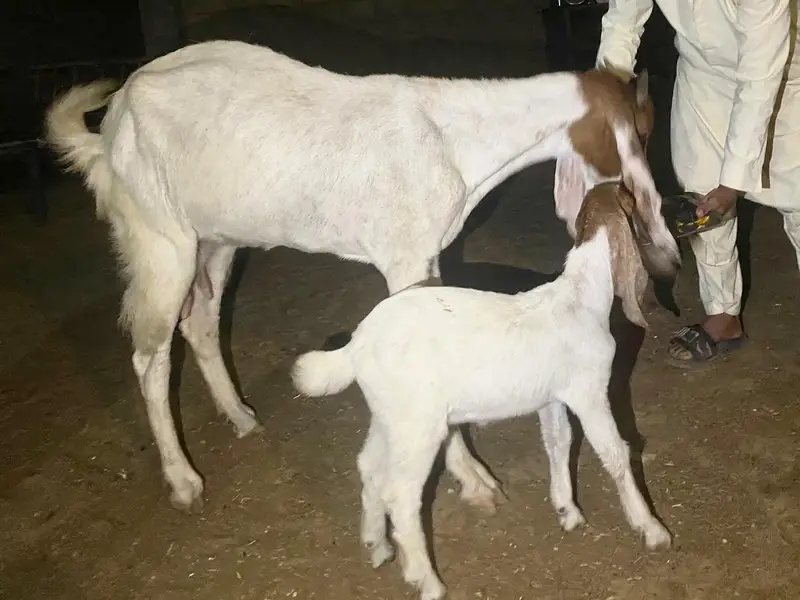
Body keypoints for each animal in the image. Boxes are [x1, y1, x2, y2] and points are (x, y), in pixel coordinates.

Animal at [44, 39, 679, 512]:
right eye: (641, 134)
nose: (670, 256)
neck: (454, 141)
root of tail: (109, 129)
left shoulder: (429, 258)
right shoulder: (403, 260)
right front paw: (474, 481)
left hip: (217, 242)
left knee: (200, 323)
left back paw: (241, 416)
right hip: (162, 245)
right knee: (149, 357)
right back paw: (181, 478)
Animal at [291, 181, 673, 600]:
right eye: (634, 201)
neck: (580, 298)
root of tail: (357, 345)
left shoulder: (552, 398)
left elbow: (559, 444)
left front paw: (568, 512)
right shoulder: (590, 393)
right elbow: (616, 452)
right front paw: (652, 528)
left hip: (391, 417)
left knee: (370, 468)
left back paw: (377, 546)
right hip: (419, 428)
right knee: (401, 495)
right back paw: (427, 580)